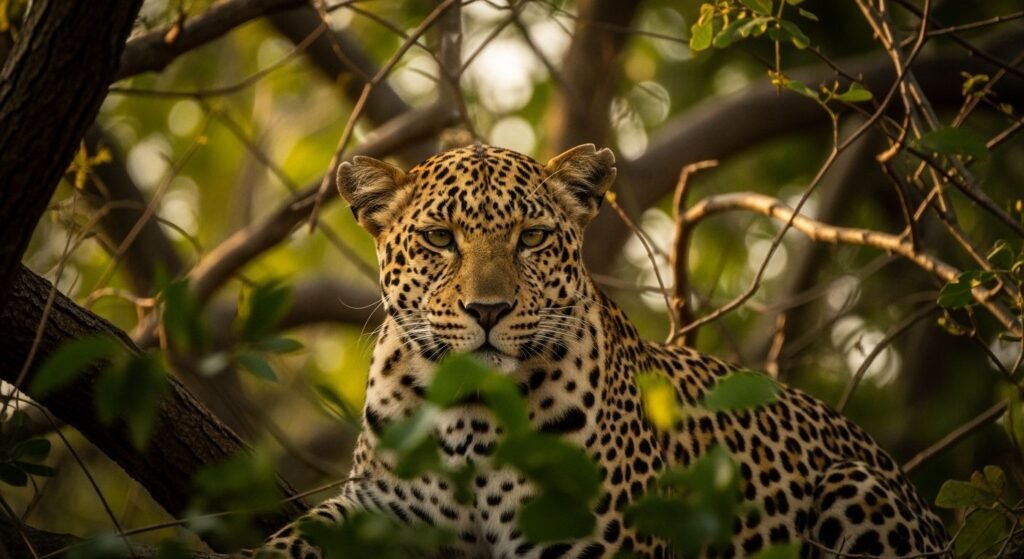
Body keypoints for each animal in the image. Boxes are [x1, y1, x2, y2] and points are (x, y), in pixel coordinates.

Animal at [250, 144, 949, 558]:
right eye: (439, 238)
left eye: (532, 238)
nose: (488, 310)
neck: (474, 411)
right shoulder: (380, 508)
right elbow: (300, 535)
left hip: (856, 488)